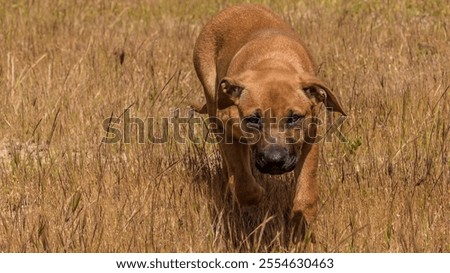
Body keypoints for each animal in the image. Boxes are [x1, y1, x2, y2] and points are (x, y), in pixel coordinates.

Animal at [192, 3, 344, 238]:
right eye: (254, 119)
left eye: (294, 118)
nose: (274, 161)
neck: (272, 63)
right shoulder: (228, 131)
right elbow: (243, 181)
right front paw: (255, 196)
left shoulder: (310, 136)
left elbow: (307, 182)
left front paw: (301, 220)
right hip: (212, 101)